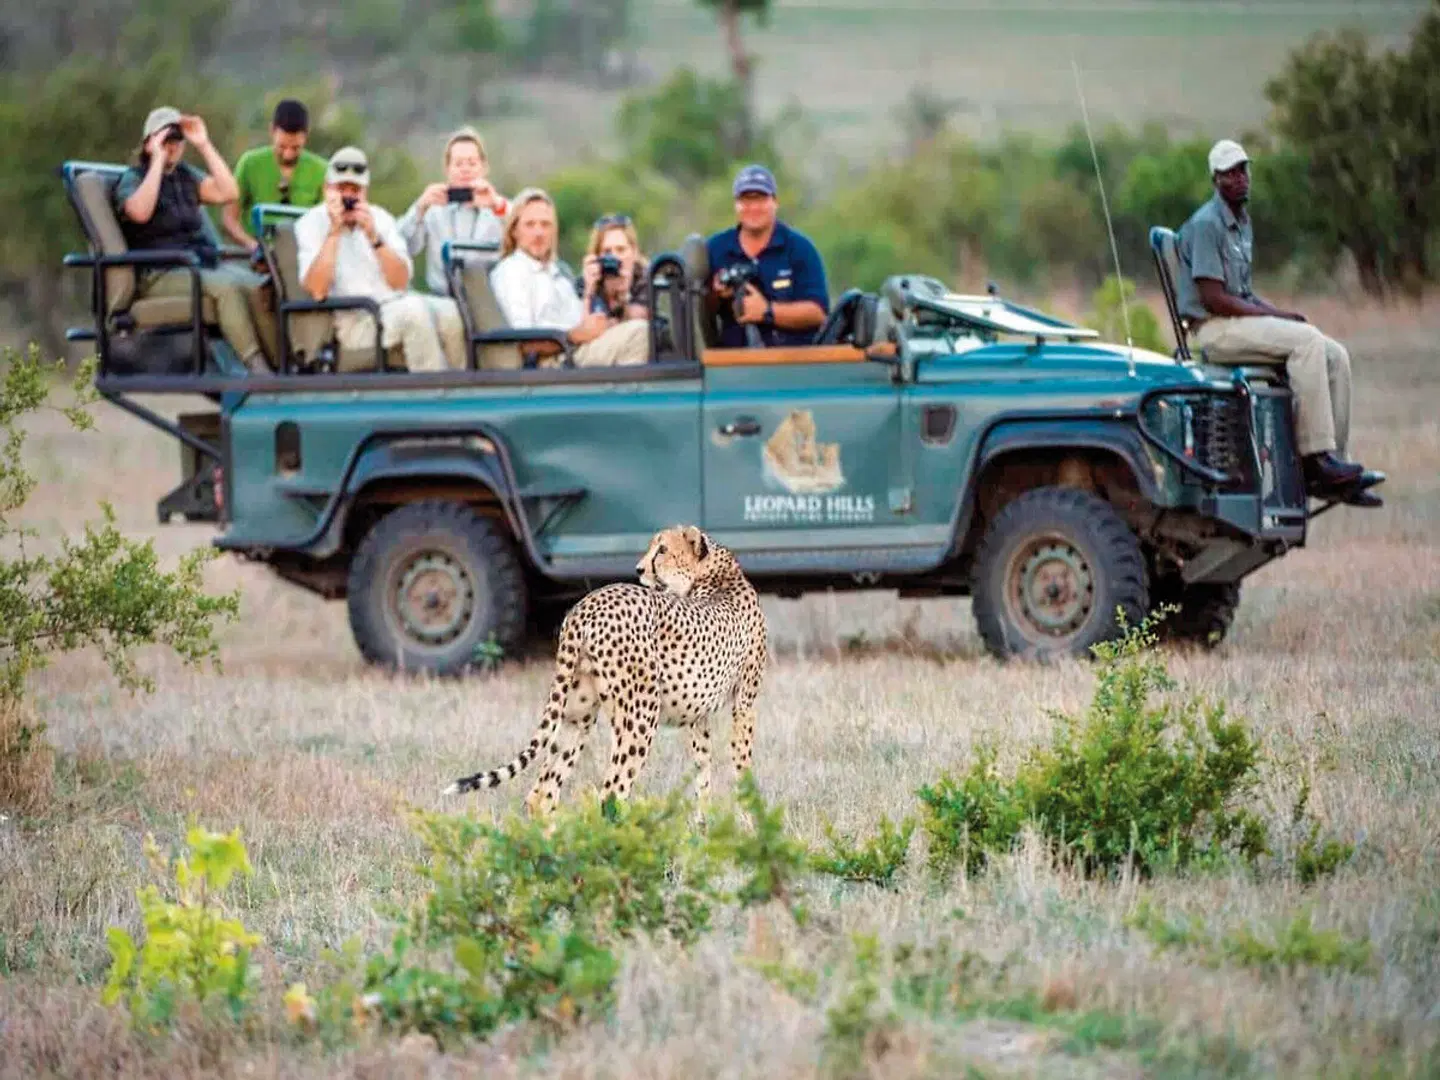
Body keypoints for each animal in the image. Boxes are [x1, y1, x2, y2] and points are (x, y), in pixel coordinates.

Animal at [441, 524, 769, 819]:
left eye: (662, 549)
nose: (639, 569)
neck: (716, 573)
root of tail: (586, 605)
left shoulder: (699, 716)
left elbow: (703, 773)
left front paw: (703, 830)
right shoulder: (745, 703)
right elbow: (741, 764)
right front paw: (751, 825)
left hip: (577, 713)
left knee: (543, 793)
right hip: (641, 714)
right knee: (611, 794)